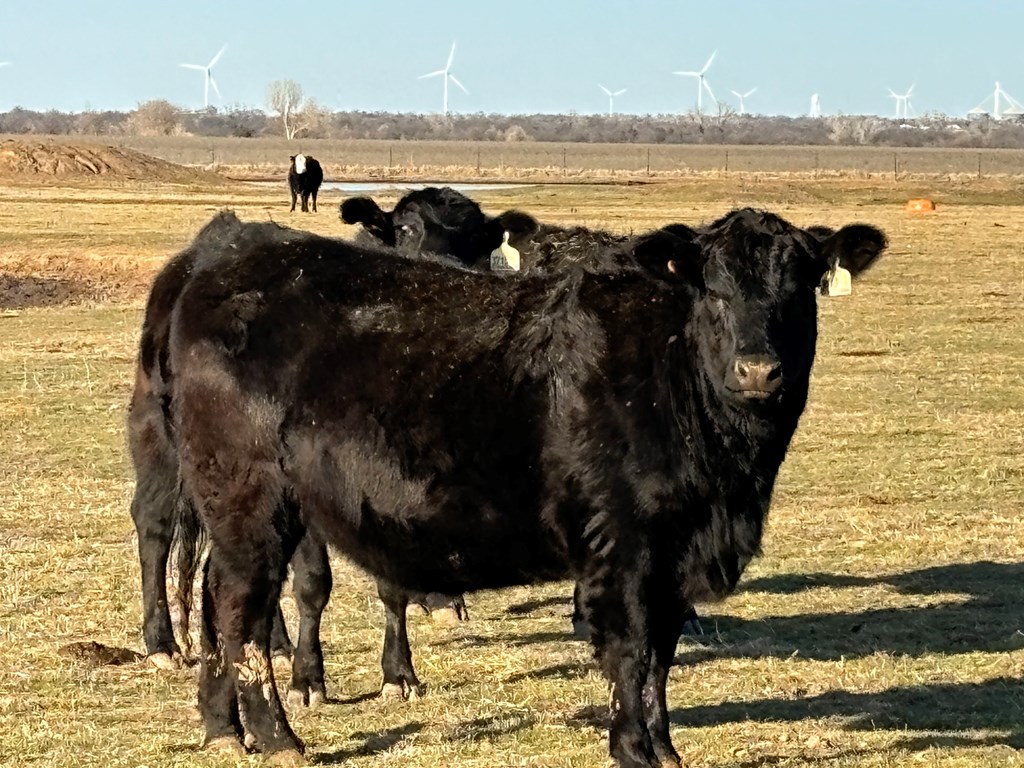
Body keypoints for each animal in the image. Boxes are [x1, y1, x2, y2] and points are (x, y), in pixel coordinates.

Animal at [165, 207, 880, 765]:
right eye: (715, 290)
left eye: (800, 288)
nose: (758, 370)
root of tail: (222, 264)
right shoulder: (623, 545)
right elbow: (632, 650)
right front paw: (635, 749)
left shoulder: (675, 555)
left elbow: (661, 655)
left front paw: (666, 748)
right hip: (252, 502)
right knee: (242, 609)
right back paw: (277, 737)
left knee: (215, 599)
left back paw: (221, 727)